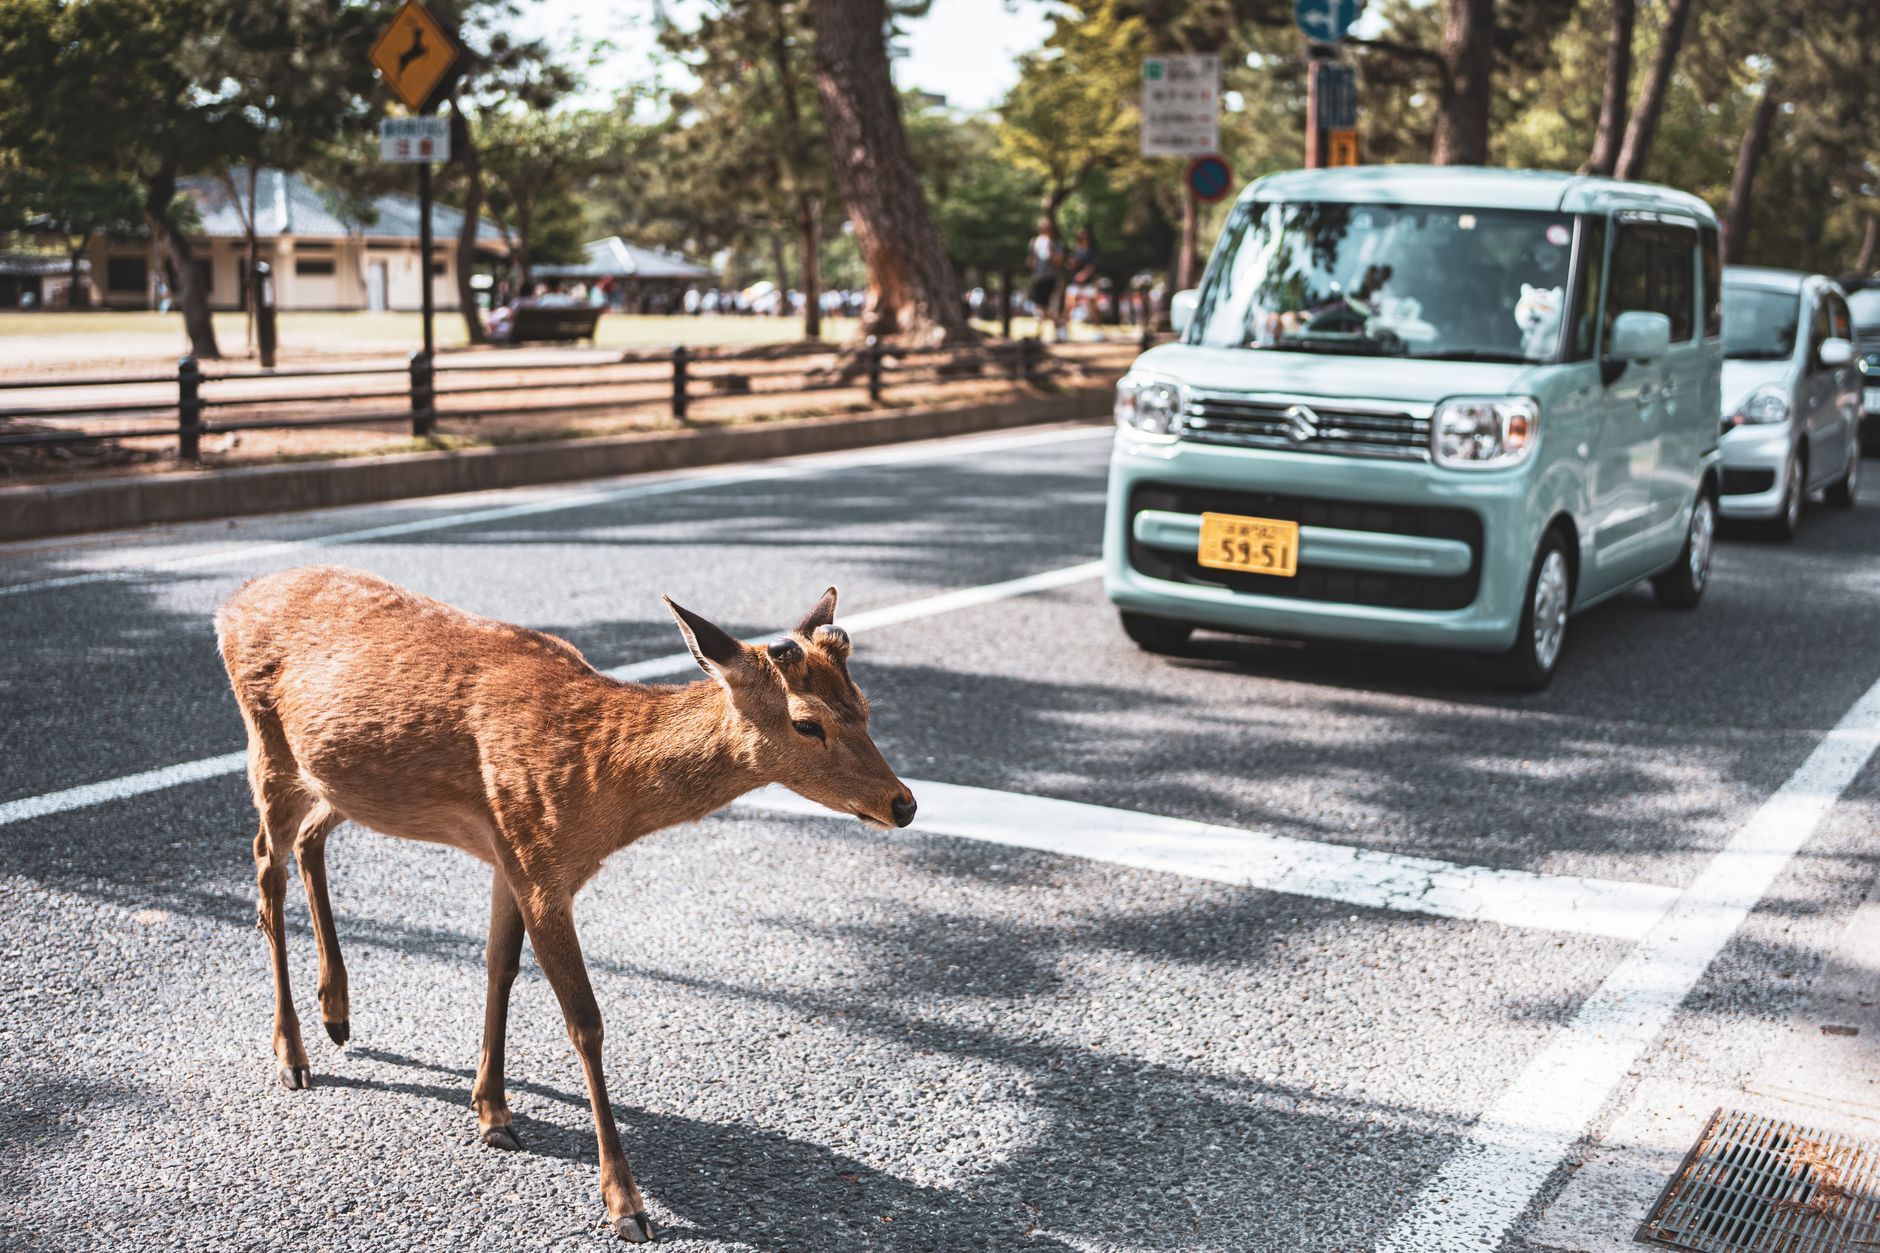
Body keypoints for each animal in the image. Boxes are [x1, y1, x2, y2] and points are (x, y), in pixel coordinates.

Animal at [215, 564, 916, 1244]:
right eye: (807, 722)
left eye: (864, 705)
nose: (903, 803)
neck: (600, 786)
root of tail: (230, 603)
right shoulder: (536, 861)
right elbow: (585, 1021)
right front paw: (625, 1204)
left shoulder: (512, 857)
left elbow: (499, 966)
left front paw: (492, 1112)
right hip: (268, 748)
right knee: (265, 867)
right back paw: (292, 1053)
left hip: (341, 781)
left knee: (311, 839)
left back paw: (337, 1012)